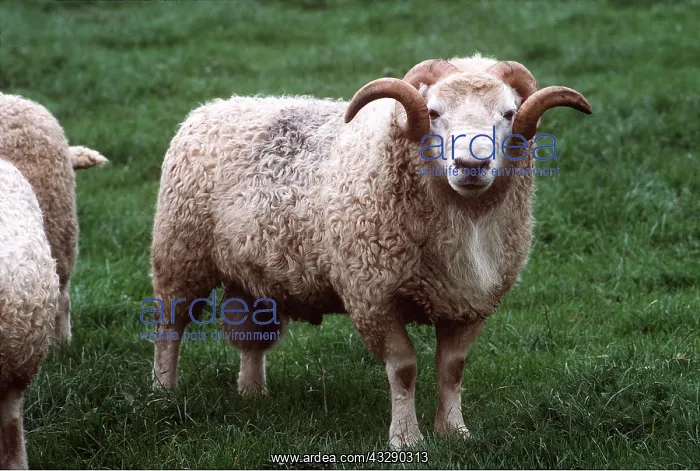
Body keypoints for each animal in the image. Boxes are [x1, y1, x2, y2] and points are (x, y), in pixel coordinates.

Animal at [149, 53, 592, 448]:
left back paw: (253, 393)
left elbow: (452, 369)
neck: (464, 219)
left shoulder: (470, 302)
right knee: (170, 327)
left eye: (508, 112)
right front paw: (406, 439)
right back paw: (163, 392)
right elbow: (404, 369)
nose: (471, 165)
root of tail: (213, 107)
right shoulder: (373, 296)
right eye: (433, 112)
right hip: (179, 256)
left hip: (255, 275)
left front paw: (454, 432)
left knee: (251, 339)